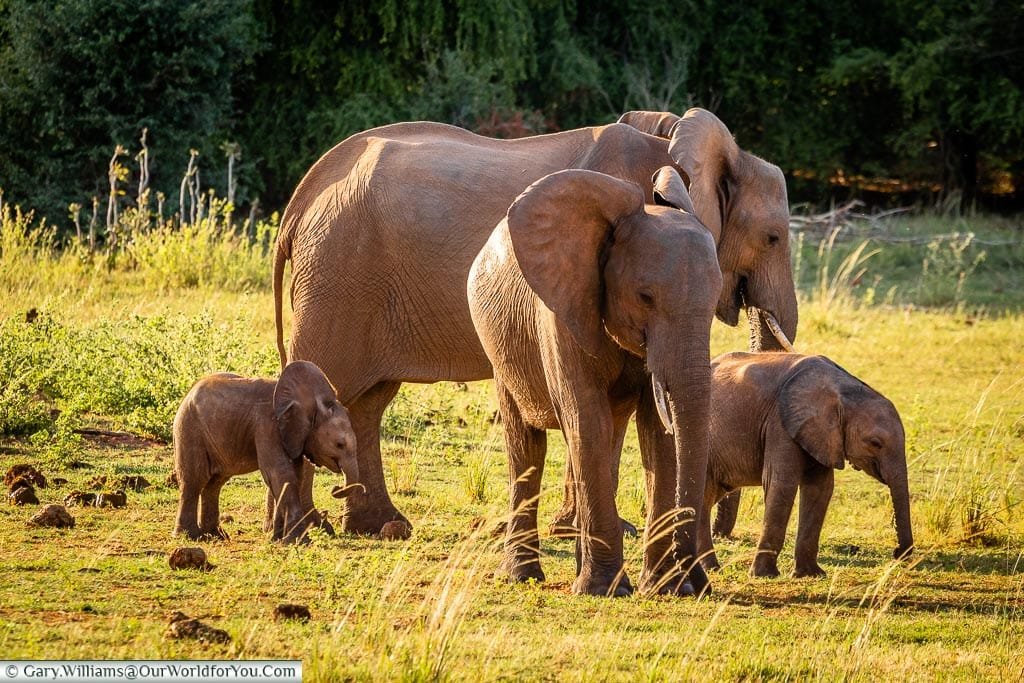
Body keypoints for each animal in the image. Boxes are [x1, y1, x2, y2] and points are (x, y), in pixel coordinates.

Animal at [178, 360, 362, 540]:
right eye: (339, 444)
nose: (336, 488)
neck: (313, 401)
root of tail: (189, 392)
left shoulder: (293, 434)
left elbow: (295, 475)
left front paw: (279, 538)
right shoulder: (267, 425)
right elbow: (279, 472)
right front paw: (299, 541)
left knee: (215, 482)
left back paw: (216, 535)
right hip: (189, 428)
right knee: (194, 480)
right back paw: (191, 536)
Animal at [274, 107, 798, 536]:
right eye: (773, 237)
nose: (724, 532)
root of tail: (302, 196)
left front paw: (578, 528)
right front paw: (591, 530)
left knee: (367, 403)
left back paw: (381, 527)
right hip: (338, 274)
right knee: (327, 387)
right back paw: (303, 529)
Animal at [700, 352, 917, 577]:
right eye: (875, 443)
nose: (897, 553)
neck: (844, 388)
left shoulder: (821, 435)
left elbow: (820, 489)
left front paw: (810, 574)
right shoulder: (780, 422)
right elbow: (782, 484)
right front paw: (764, 575)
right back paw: (711, 569)